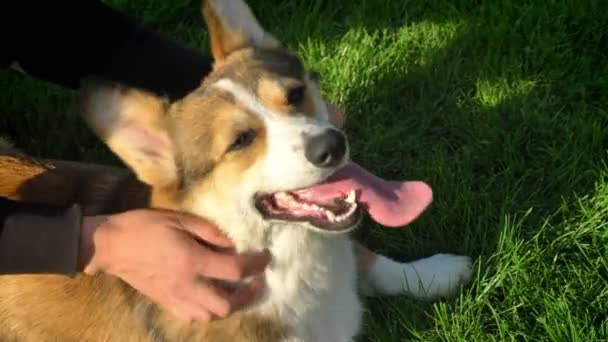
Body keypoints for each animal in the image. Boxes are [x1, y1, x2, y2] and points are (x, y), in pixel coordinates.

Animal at [0, 1, 472, 340]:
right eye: (241, 141)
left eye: (295, 94)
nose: (332, 146)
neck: (287, 258)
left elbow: (375, 263)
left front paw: (437, 272)